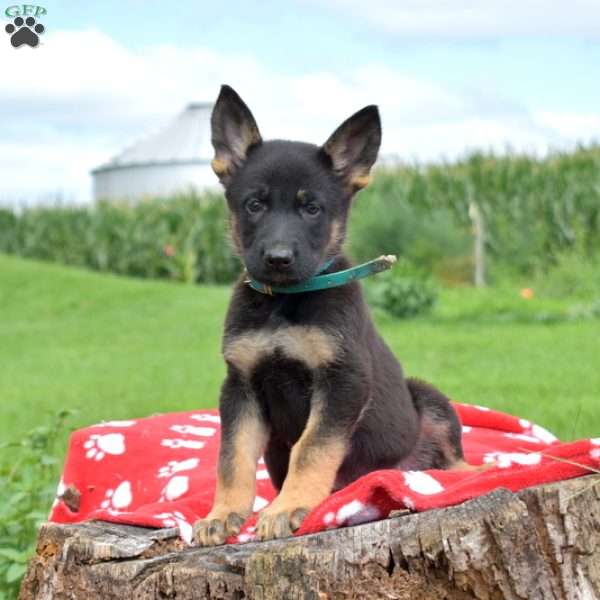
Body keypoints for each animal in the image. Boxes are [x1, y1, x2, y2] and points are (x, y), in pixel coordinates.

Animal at [195, 85, 466, 548]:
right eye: (254, 205)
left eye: (312, 209)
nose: (278, 258)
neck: (284, 302)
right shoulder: (241, 385)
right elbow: (232, 456)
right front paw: (223, 513)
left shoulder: (343, 380)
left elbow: (312, 448)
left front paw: (288, 508)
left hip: (428, 399)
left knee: (457, 466)